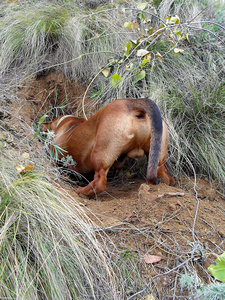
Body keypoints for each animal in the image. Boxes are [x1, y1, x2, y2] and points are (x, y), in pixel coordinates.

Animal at [42, 98, 174, 196]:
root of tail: (130, 103)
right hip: (158, 157)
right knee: (163, 173)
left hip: (99, 156)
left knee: (99, 182)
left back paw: (83, 191)